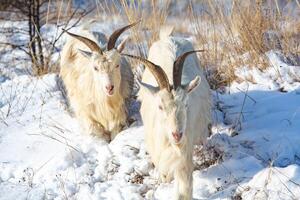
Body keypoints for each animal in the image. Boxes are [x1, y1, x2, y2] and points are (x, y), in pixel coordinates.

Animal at [123, 27, 212, 200]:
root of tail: (168, 38)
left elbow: (184, 188)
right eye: (160, 106)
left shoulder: (184, 152)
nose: (177, 134)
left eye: (186, 104)